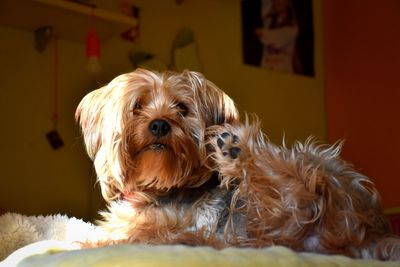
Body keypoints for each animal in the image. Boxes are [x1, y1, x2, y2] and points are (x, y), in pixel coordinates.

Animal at [76, 68, 400, 262]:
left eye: (182, 108)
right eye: (137, 106)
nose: (159, 125)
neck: (159, 187)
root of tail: (374, 234)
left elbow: (135, 236)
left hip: (309, 164)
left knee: (303, 191)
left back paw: (235, 149)